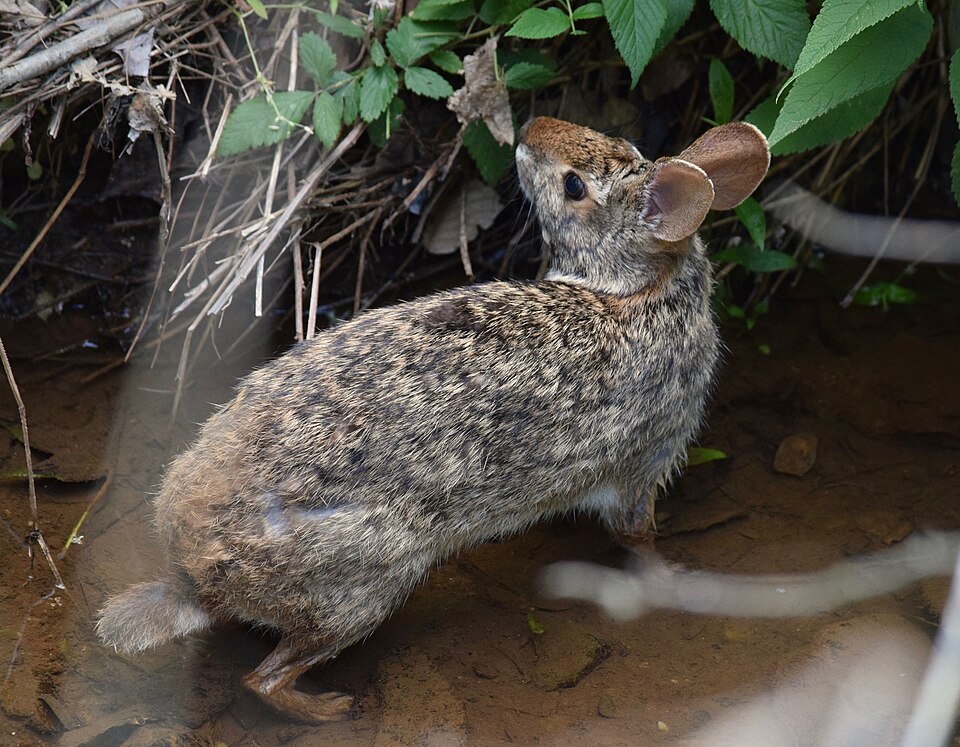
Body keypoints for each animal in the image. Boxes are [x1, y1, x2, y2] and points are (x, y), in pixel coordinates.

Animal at [97, 116, 770, 724]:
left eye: (582, 177)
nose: (530, 128)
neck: (640, 292)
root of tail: (193, 578)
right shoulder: (641, 465)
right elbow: (637, 538)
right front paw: (675, 579)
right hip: (364, 583)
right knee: (264, 677)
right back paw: (333, 709)